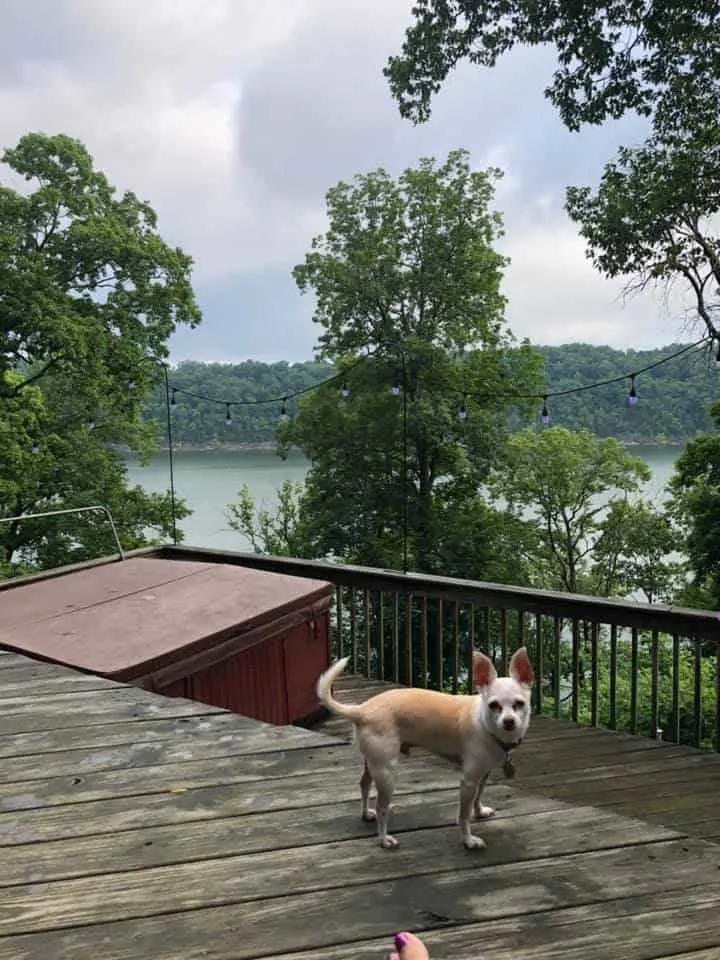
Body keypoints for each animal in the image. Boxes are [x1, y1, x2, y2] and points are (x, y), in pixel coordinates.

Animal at [316, 648, 536, 852]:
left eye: (519, 704)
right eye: (493, 705)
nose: (509, 722)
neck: (483, 723)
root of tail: (361, 710)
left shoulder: (483, 774)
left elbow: (478, 796)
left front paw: (479, 811)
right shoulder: (468, 781)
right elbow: (464, 815)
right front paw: (468, 840)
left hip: (372, 763)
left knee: (363, 784)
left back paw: (365, 813)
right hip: (386, 771)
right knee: (382, 807)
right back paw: (384, 839)